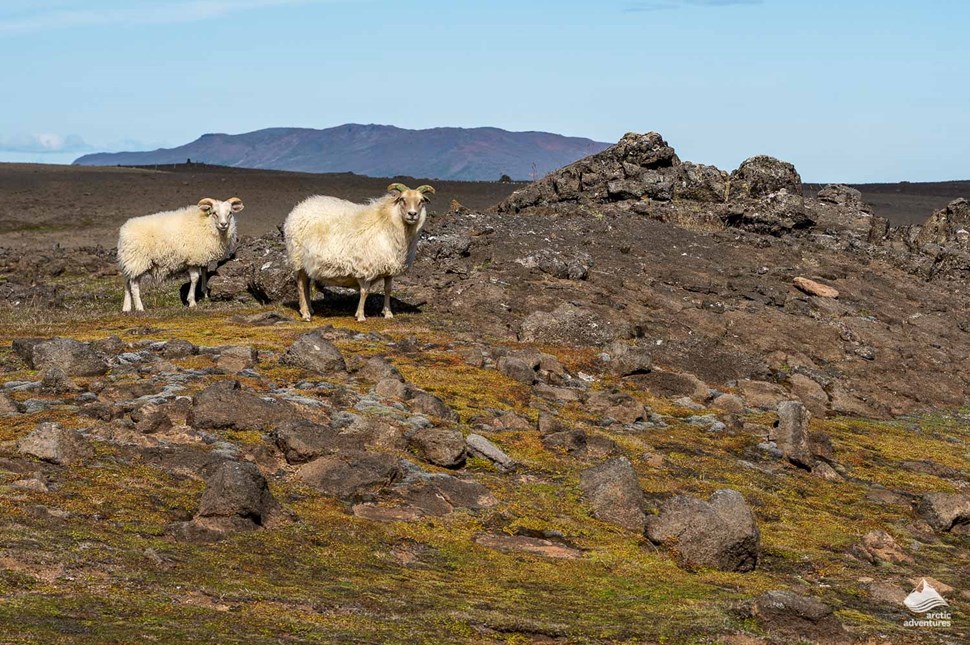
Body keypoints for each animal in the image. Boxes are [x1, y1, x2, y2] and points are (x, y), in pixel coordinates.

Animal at [116, 197, 244, 314]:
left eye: (230, 213)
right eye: (214, 213)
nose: (224, 224)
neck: (206, 223)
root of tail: (124, 231)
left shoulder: (202, 256)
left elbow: (204, 273)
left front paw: (205, 294)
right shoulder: (193, 258)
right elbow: (195, 278)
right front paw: (192, 301)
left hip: (129, 262)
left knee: (127, 282)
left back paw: (126, 307)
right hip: (138, 261)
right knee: (134, 285)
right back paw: (139, 308)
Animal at [278, 181, 432, 322]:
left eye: (421, 201)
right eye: (402, 199)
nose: (412, 214)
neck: (387, 222)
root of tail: (297, 209)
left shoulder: (389, 268)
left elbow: (388, 289)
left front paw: (388, 313)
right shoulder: (366, 267)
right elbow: (365, 292)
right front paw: (361, 316)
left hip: (308, 262)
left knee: (306, 284)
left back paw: (309, 309)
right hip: (298, 258)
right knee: (300, 285)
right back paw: (305, 313)